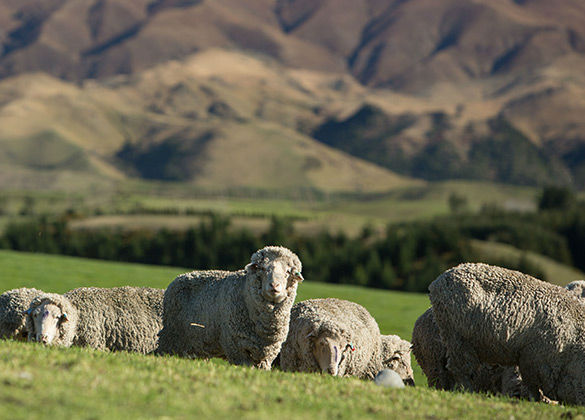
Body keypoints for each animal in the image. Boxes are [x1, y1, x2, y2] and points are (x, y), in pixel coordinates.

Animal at [155, 244, 304, 370]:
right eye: (262, 268)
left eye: (288, 271)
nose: (274, 286)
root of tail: (182, 276)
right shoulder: (236, 348)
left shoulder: (267, 355)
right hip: (172, 338)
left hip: (197, 343)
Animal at [426, 264, 584, 406]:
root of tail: (436, 283)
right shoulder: (531, 357)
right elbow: (533, 386)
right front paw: (536, 401)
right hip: (458, 337)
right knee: (460, 369)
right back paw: (468, 392)